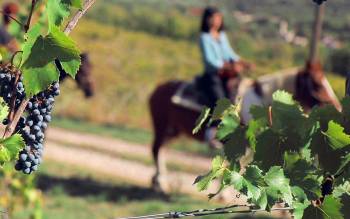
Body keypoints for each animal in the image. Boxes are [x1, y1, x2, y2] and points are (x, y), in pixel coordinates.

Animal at [149, 61, 340, 190]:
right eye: (317, 83)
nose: (336, 107)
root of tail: (157, 88)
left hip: (172, 131)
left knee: (162, 149)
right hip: (161, 126)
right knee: (157, 148)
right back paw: (159, 183)